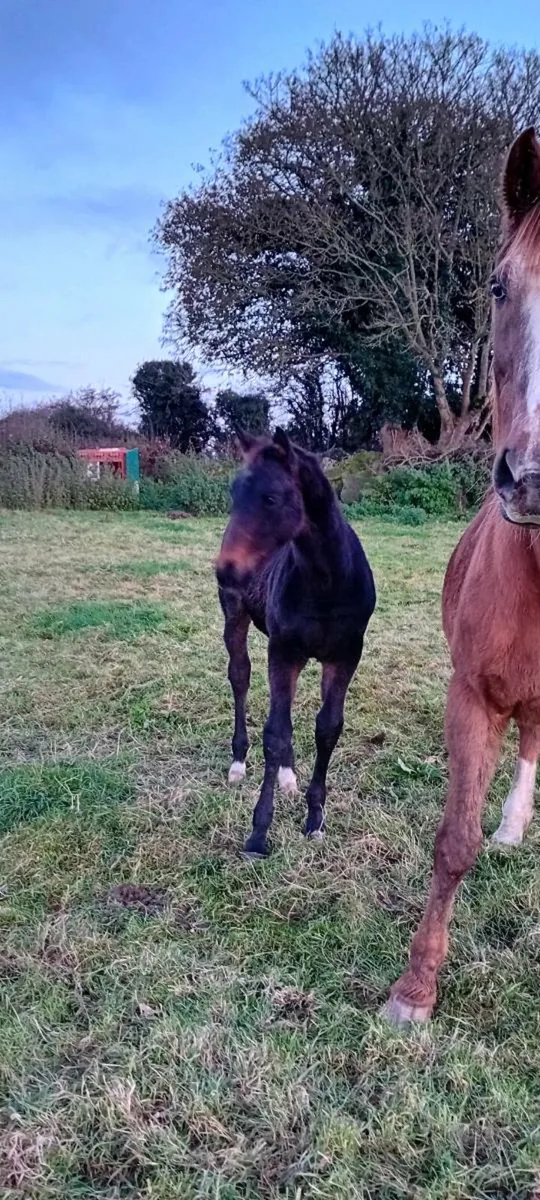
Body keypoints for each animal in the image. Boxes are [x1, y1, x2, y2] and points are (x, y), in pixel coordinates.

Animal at [215, 427, 376, 858]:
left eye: (270, 497)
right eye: (233, 493)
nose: (225, 570)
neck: (327, 582)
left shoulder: (344, 656)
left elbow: (328, 728)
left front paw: (315, 818)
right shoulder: (283, 651)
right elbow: (274, 732)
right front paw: (258, 833)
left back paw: (288, 776)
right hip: (236, 619)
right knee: (240, 677)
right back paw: (239, 762)